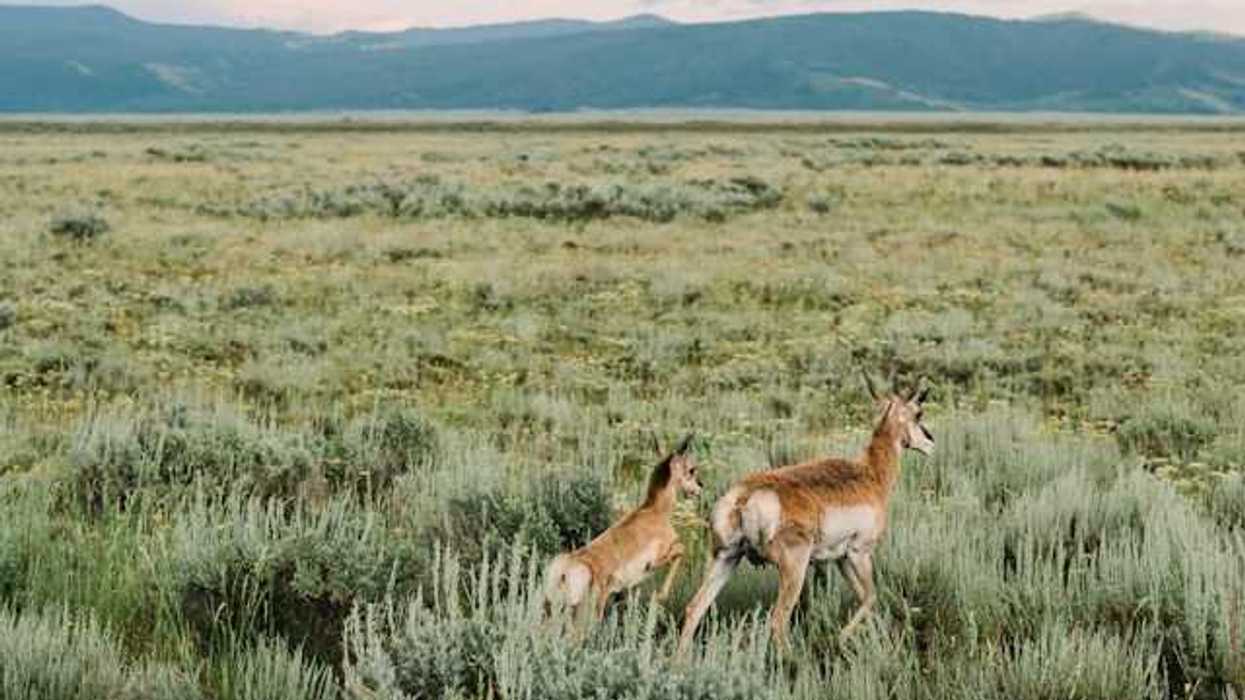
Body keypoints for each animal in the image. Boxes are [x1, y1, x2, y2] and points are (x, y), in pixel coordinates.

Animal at [544, 434, 701, 626]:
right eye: (691, 469)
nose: (700, 487)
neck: (654, 511)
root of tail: (564, 570)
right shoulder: (663, 554)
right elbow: (681, 550)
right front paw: (660, 596)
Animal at [677, 375, 933, 655]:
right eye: (918, 413)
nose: (931, 442)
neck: (870, 474)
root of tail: (743, 496)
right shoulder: (860, 553)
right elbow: (871, 597)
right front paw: (840, 638)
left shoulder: (842, 559)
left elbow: (866, 598)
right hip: (794, 569)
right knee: (778, 620)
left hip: (726, 558)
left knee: (694, 609)